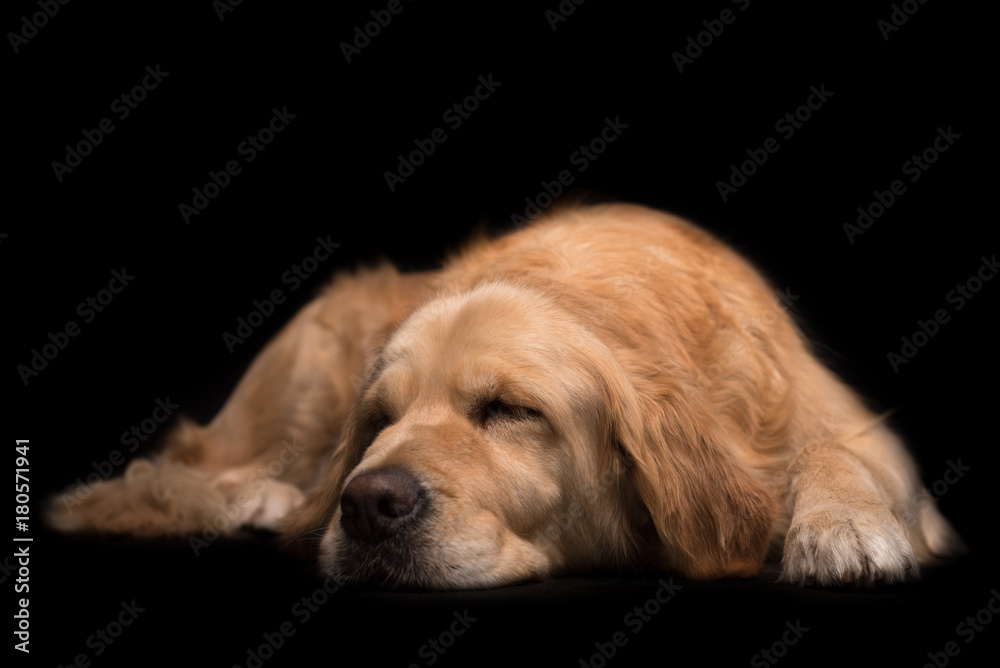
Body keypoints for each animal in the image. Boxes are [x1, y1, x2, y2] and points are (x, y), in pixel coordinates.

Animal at [45, 205, 960, 588]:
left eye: (512, 412)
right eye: (379, 422)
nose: (365, 503)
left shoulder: (846, 422)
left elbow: (839, 451)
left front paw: (842, 524)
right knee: (184, 476)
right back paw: (267, 500)